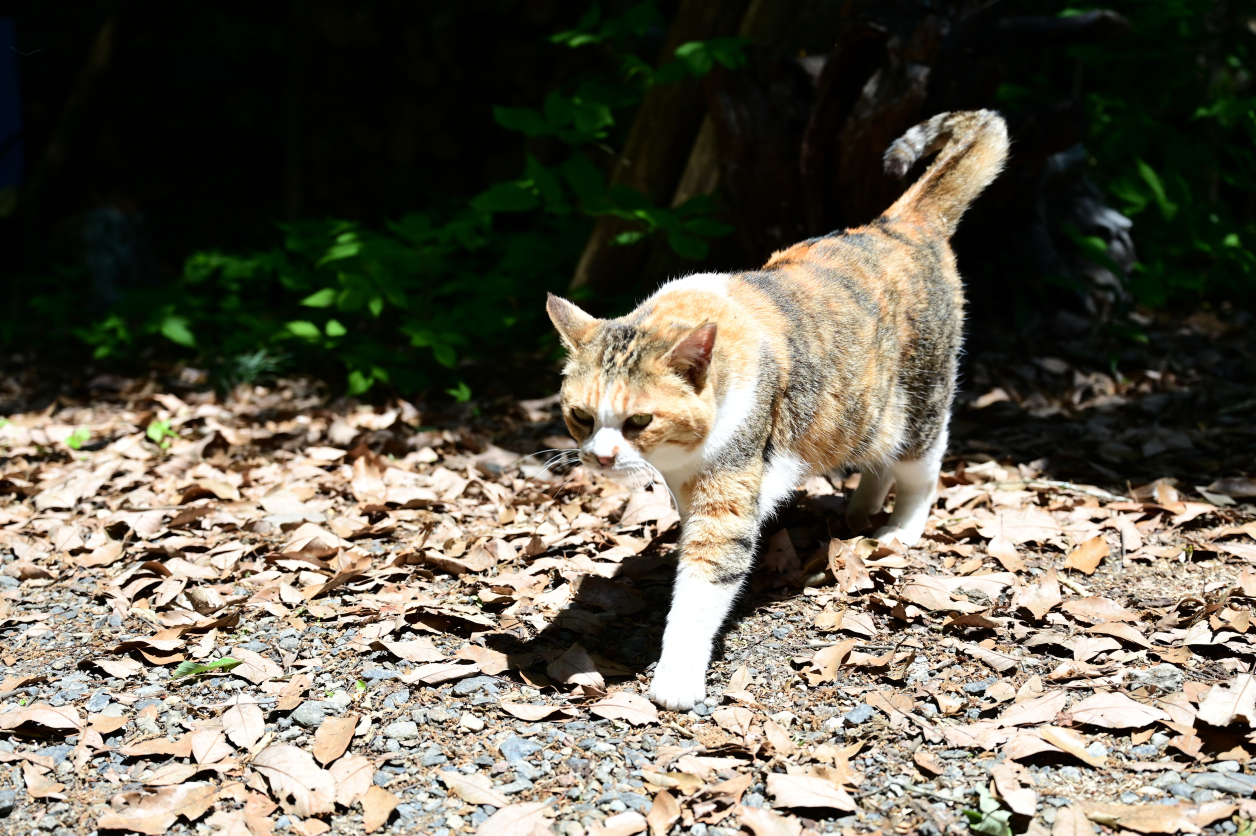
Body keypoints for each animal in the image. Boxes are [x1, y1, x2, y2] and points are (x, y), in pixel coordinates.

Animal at [545, 109, 1004, 707]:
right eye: (582, 417)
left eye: (638, 421)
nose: (599, 457)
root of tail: (899, 222)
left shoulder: (729, 495)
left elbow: (704, 584)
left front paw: (677, 676)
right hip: (861, 412)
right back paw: (860, 507)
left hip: (918, 405)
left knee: (921, 470)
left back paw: (899, 529)